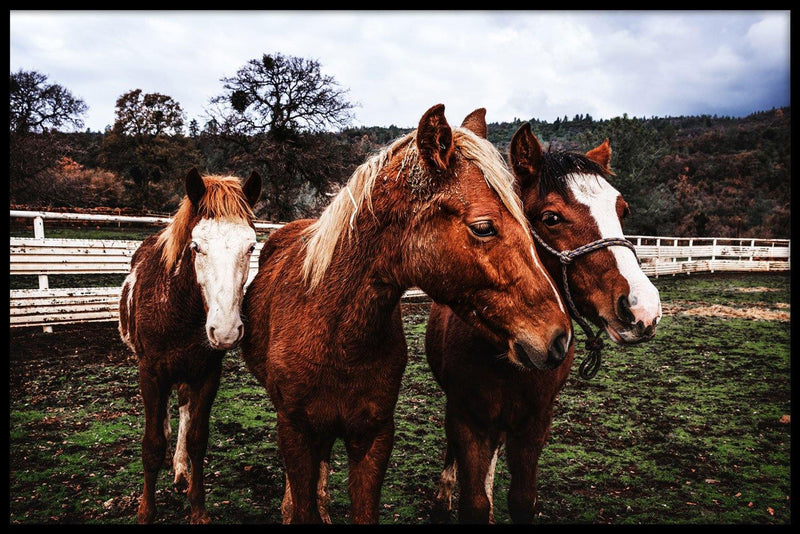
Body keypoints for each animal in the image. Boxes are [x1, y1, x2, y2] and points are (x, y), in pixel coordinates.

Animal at [117, 170, 260, 524]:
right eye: (196, 247)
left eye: (251, 246)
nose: (226, 330)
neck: (178, 308)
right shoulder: (151, 373)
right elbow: (152, 443)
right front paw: (146, 511)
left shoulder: (207, 374)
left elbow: (197, 439)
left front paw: (198, 509)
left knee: (182, 410)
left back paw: (180, 472)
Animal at [241, 105, 572, 528]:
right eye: (483, 227)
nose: (558, 336)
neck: (334, 333)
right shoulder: (296, 432)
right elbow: (302, 504)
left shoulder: (373, 437)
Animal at [424, 123, 664, 524]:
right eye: (551, 218)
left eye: (622, 209)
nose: (642, 308)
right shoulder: (468, 418)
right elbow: (475, 502)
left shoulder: (534, 422)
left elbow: (522, 499)